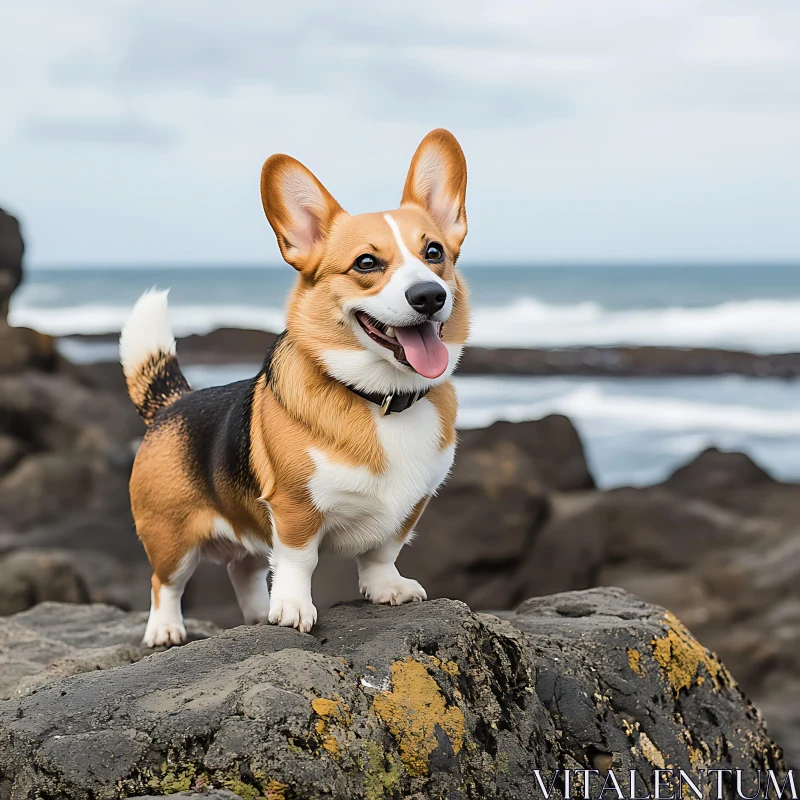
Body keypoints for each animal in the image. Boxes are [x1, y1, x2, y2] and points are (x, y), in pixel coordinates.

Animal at [119, 128, 468, 648]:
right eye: (367, 262)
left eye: (434, 253)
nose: (429, 295)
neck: (382, 399)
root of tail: (172, 403)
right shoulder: (293, 509)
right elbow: (298, 560)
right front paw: (292, 609)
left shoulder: (411, 507)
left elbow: (381, 552)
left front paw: (386, 587)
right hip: (171, 537)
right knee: (166, 583)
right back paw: (166, 628)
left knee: (242, 569)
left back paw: (254, 614)